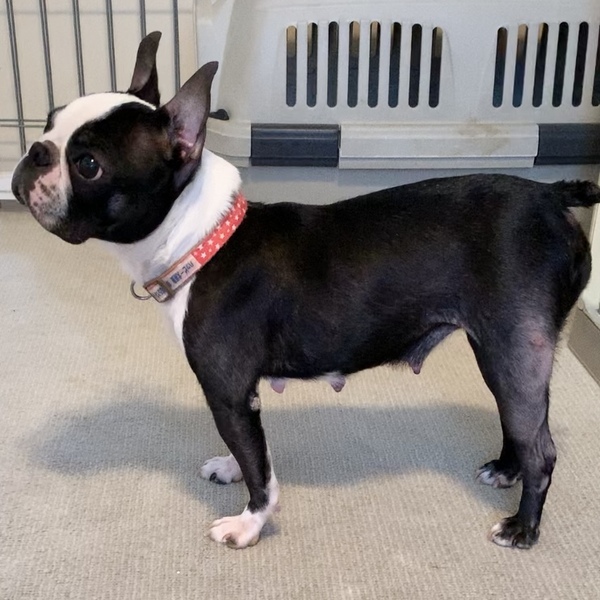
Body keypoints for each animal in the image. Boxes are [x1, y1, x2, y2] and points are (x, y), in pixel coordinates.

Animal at [11, 31, 600, 550]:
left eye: (88, 164)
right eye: (49, 122)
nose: (35, 150)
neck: (202, 240)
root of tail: (552, 196)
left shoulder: (228, 391)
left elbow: (260, 468)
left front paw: (249, 524)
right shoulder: (240, 397)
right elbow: (248, 452)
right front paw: (229, 468)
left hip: (511, 348)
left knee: (540, 447)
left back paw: (523, 527)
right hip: (510, 353)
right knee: (522, 421)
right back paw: (505, 470)